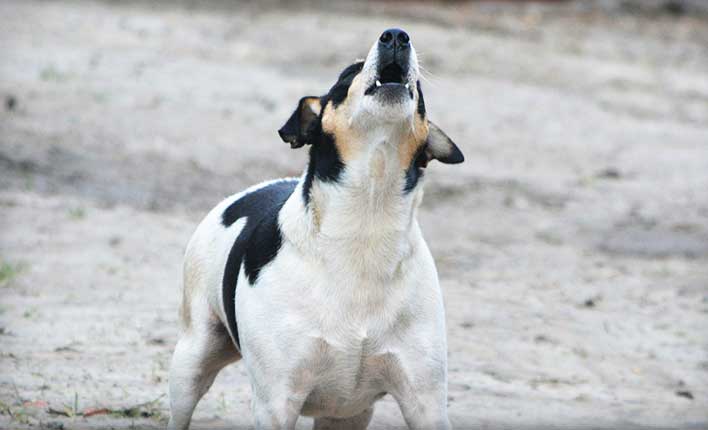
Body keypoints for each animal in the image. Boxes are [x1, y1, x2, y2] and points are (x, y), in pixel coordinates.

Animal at [167, 28, 464, 428]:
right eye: (349, 73)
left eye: (418, 89)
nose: (396, 36)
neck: (366, 222)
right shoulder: (276, 402)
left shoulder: (425, 402)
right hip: (192, 358)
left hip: (348, 414)